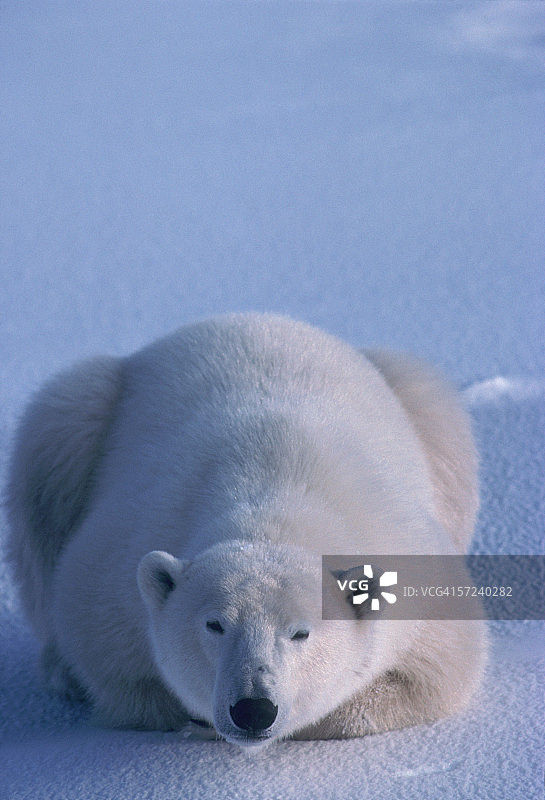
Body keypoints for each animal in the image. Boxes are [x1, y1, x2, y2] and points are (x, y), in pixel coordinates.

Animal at [6, 313, 487, 747]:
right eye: (215, 624)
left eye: (300, 632)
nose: (254, 709)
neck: (271, 510)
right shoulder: (116, 568)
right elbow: (116, 670)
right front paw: (192, 718)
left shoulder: (413, 571)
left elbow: (435, 676)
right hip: (85, 414)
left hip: (419, 405)